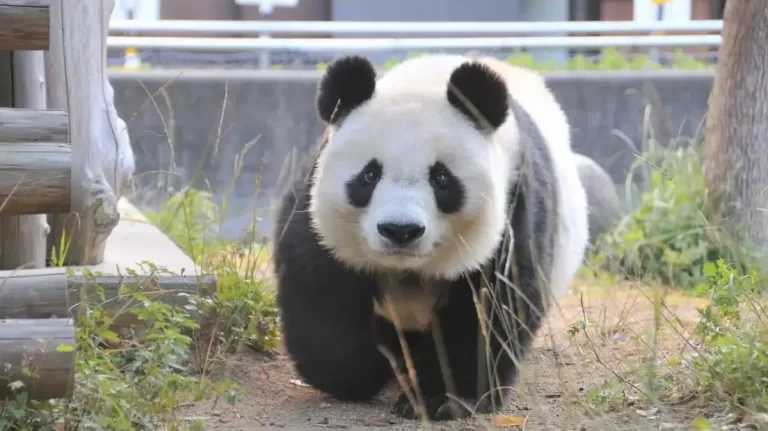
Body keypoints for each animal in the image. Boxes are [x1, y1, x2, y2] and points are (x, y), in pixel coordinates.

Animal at [271, 53, 589, 421]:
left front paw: (444, 398)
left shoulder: (515, 204)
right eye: (370, 174)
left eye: (441, 178)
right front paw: (359, 373)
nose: (400, 230)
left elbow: (489, 308)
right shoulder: (316, 204)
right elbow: (321, 287)